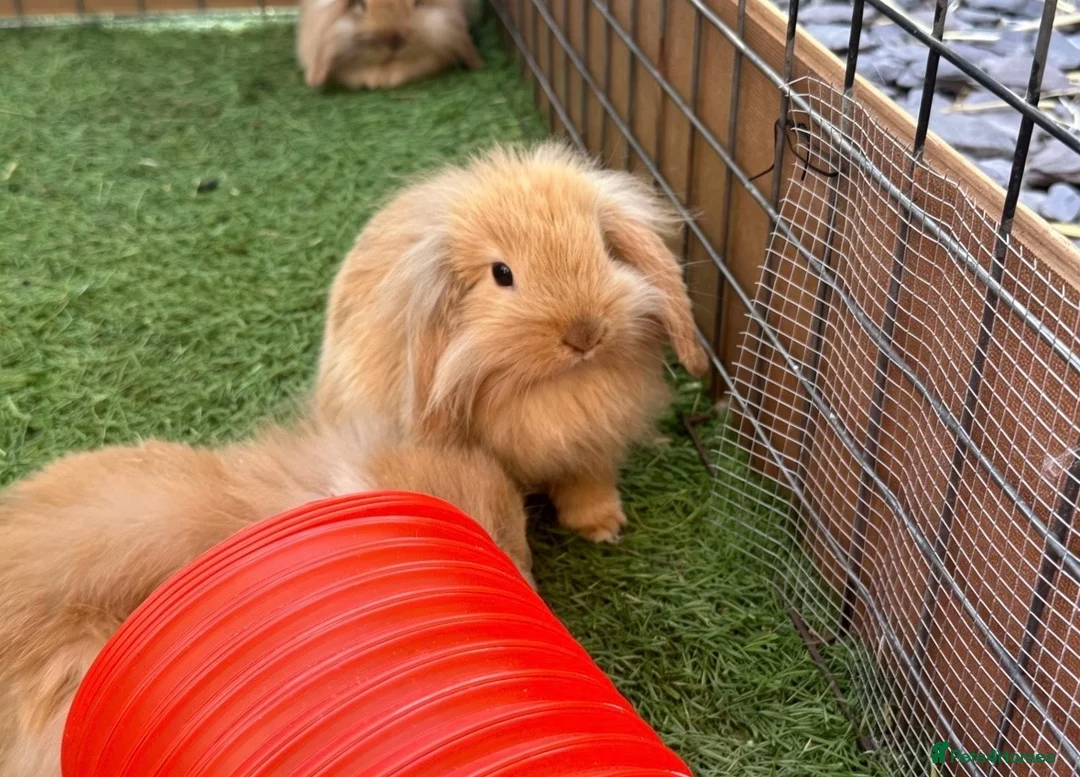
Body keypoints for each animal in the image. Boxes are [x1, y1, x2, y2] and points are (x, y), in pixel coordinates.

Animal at [314, 142, 708, 544]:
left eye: (605, 248)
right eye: (501, 273)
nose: (585, 334)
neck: (555, 384)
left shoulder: (593, 448)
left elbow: (589, 487)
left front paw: (602, 528)